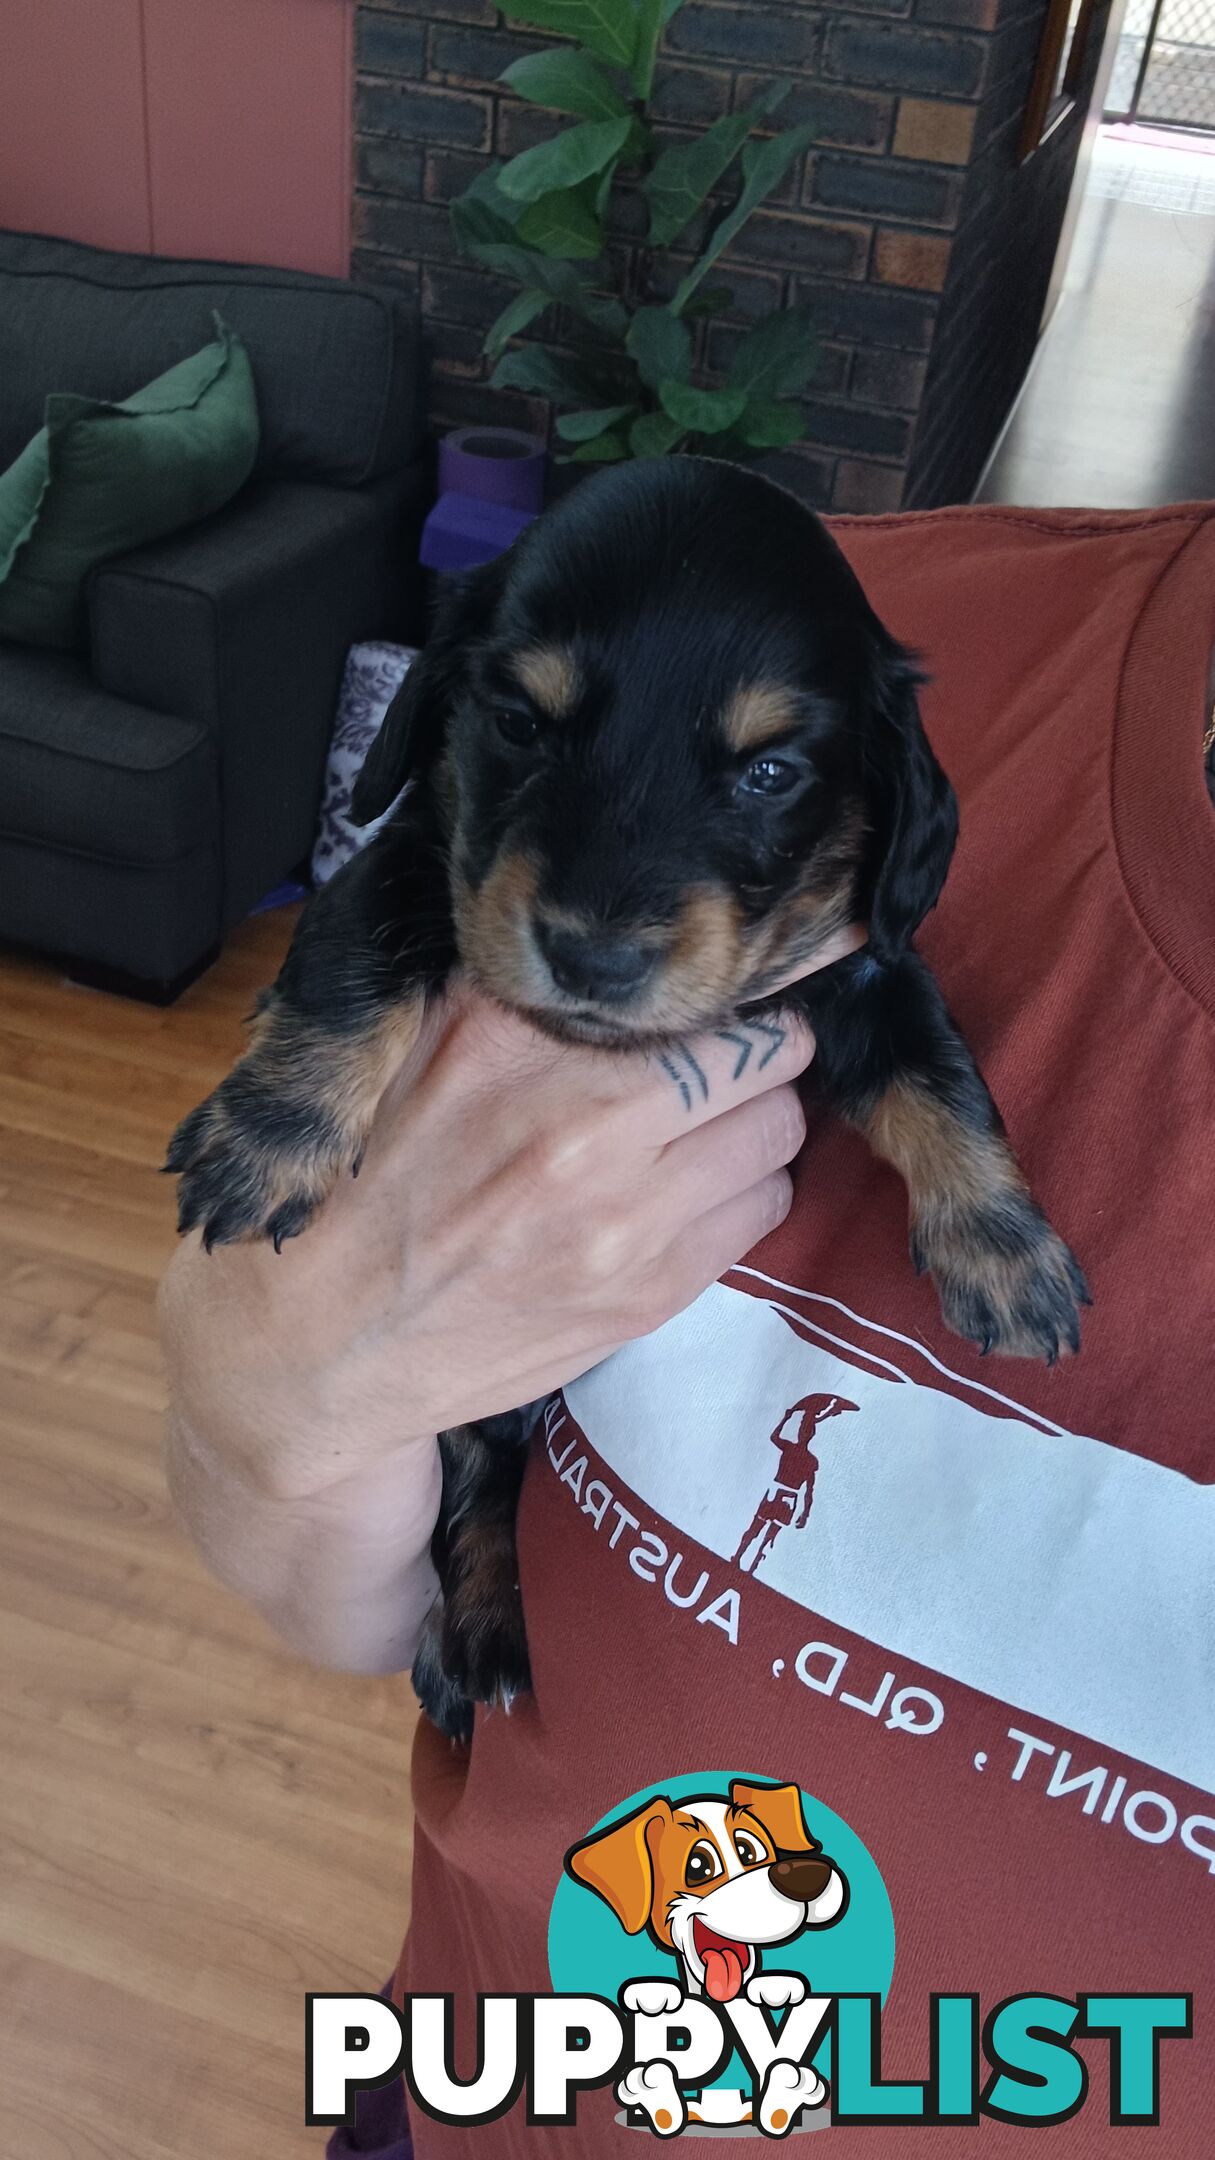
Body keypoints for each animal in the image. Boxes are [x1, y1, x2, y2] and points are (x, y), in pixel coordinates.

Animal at [165, 455, 1080, 1736]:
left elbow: (939, 1077)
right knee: (473, 1477)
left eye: (769, 772)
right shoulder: (407, 860)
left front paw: (1004, 1251)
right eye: (517, 724)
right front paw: (267, 1137)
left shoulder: (868, 966)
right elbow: (354, 967)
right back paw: (474, 1637)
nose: (593, 959)